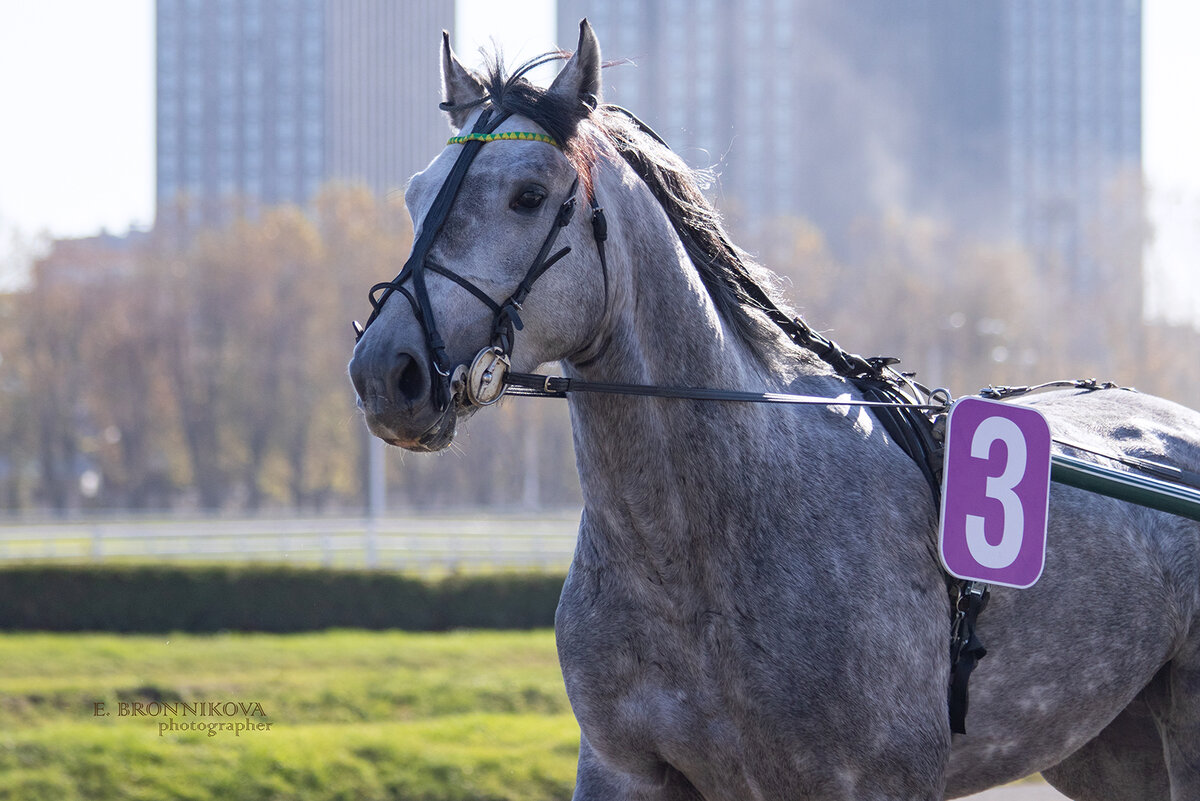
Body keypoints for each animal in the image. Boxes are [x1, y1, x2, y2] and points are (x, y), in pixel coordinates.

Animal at [350, 20, 1200, 801]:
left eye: (527, 196)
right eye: (416, 194)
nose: (385, 372)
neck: (706, 539)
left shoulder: (871, 779)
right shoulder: (624, 764)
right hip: (1107, 743)